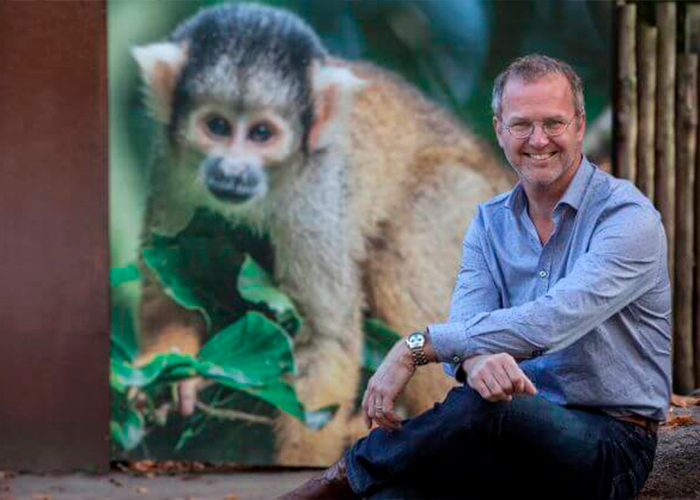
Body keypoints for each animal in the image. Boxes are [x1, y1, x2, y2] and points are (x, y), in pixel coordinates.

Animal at [133, 2, 516, 464]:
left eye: (262, 133)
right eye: (217, 126)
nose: (232, 172)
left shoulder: (313, 191)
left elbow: (325, 339)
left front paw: (301, 462)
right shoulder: (171, 164)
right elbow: (162, 276)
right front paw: (171, 373)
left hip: (469, 205)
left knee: (405, 243)